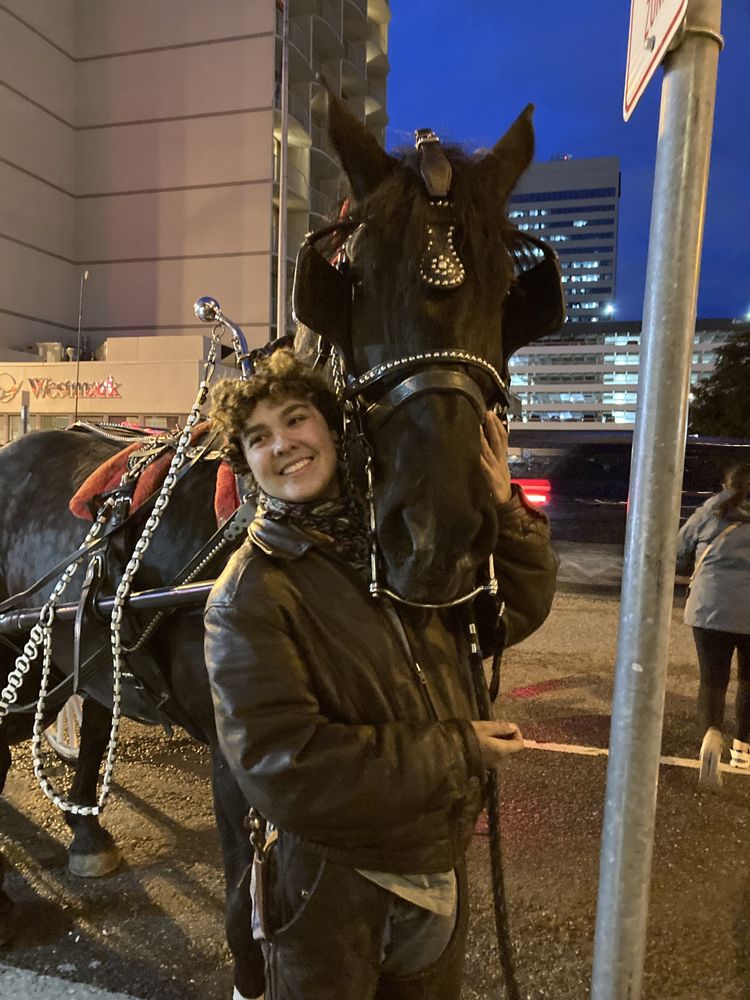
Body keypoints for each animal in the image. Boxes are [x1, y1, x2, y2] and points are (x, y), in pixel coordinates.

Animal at [0, 93, 563, 998]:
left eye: (512, 293)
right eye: (353, 281)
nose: (437, 534)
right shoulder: (240, 766)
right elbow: (244, 902)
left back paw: (89, 834)